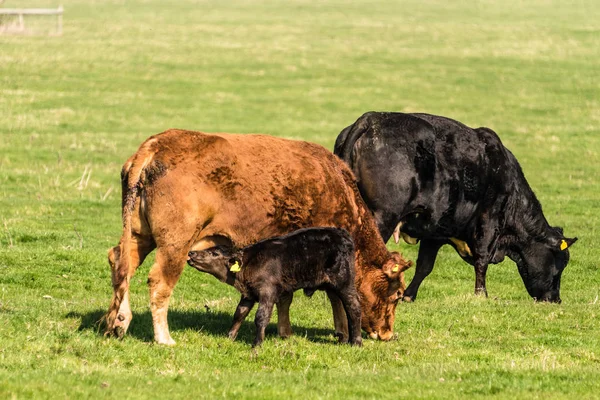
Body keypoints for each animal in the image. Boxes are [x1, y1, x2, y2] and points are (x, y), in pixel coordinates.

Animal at [188, 228, 380, 346]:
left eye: (214, 253)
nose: (191, 252)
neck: (249, 264)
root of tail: (342, 233)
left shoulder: (268, 292)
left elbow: (261, 316)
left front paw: (257, 343)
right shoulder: (248, 294)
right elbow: (239, 314)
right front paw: (230, 337)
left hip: (344, 282)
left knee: (354, 306)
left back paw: (356, 342)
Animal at [336, 111, 576, 302]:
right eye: (561, 262)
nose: (555, 299)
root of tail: (372, 118)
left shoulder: (435, 232)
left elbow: (424, 266)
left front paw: (409, 295)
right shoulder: (488, 222)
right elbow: (482, 259)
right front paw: (481, 294)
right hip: (383, 216)